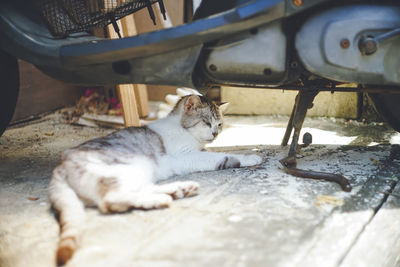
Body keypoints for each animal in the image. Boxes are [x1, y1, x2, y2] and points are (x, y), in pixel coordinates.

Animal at [49, 94, 262, 266]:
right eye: (206, 123)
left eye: (219, 124)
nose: (215, 134)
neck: (183, 130)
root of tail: (61, 165)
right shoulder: (186, 156)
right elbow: (221, 156)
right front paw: (250, 157)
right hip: (128, 167)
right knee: (111, 199)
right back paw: (159, 199)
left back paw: (179, 189)